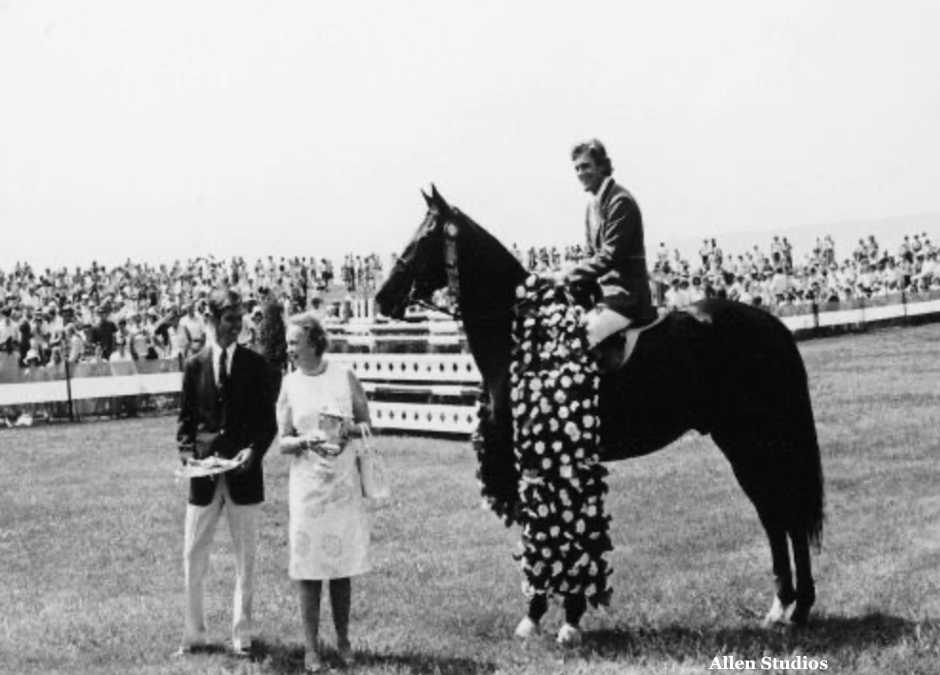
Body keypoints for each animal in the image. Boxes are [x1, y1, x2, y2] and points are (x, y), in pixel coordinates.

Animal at [372, 185, 824, 644]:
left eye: (425, 238)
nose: (382, 297)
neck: (520, 336)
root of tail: (769, 323)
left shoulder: (553, 459)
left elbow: (563, 532)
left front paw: (562, 617)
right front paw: (542, 615)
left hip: (750, 438)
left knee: (781, 510)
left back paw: (795, 607)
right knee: (775, 512)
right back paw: (784, 607)